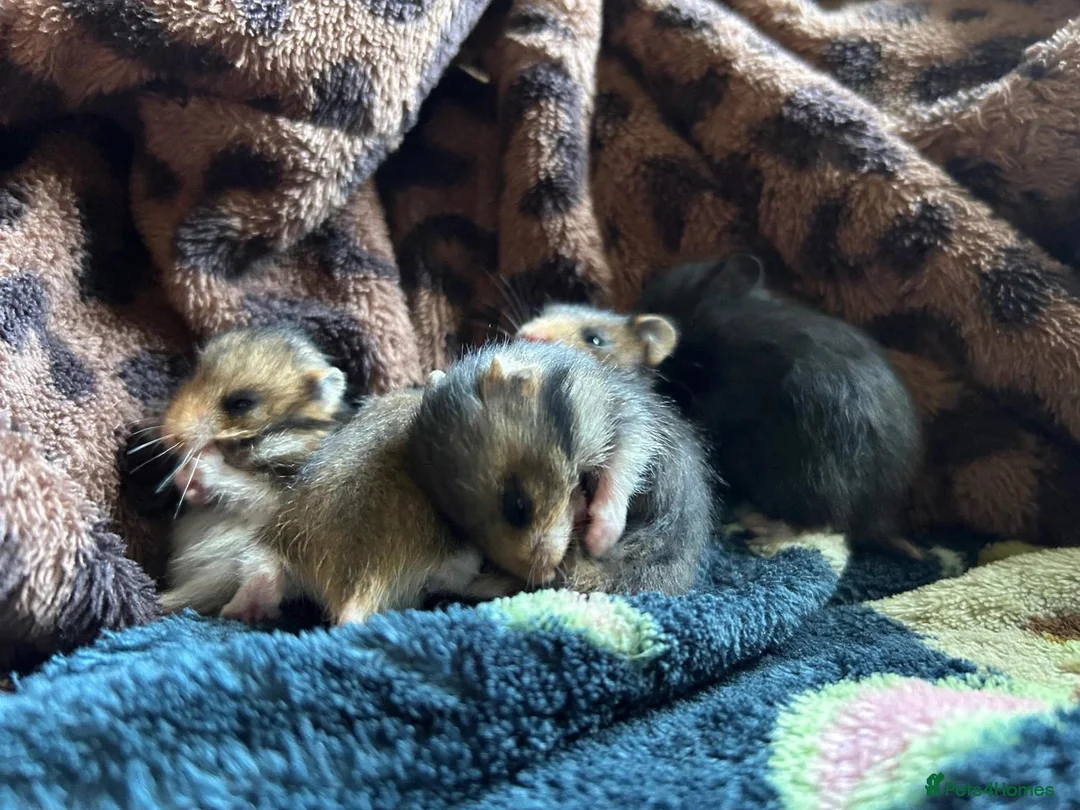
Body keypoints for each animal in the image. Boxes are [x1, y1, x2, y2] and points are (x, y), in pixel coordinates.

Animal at [154, 326, 351, 620]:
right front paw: (185, 478)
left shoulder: (283, 492)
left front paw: (202, 462)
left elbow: (244, 484)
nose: (167, 436)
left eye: (241, 403)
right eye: (193, 376)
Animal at [407, 340, 715, 595]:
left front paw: (597, 540)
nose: (542, 577)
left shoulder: (631, 423)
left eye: (518, 506)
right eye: (466, 534)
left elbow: (620, 469)